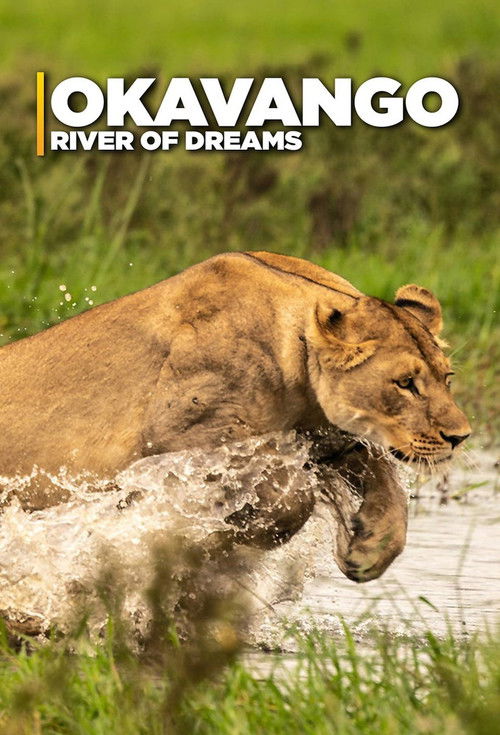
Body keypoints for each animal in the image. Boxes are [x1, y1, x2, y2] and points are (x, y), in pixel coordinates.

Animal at [0, 251, 470, 582]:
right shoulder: (180, 437)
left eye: (446, 378)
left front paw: (369, 550)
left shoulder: (331, 437)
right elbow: (291, 494)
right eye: (405, 383)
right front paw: (231, 534)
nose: (460, 437)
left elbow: (389, 491)